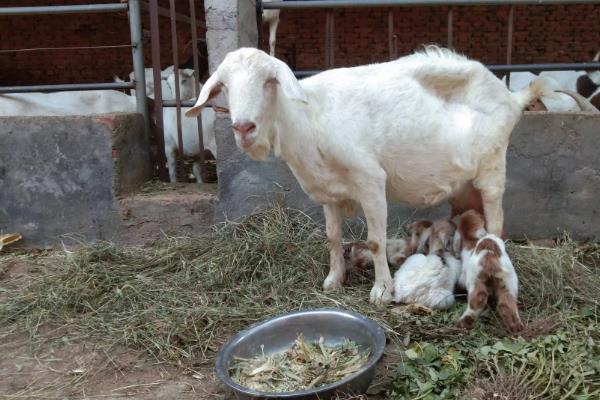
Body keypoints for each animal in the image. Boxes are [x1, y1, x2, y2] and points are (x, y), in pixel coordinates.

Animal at [185, 46, 552, 304]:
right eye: (224, 86)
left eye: (269, 81)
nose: (243, 127)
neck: (310, 119)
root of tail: (511, 97)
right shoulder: (328, 191)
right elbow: (332, 237)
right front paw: (334, 280)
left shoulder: (371, 179)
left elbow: (375, 240)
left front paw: (381, 291)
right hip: (463, 187)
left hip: (492, 169)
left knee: (497, 222)